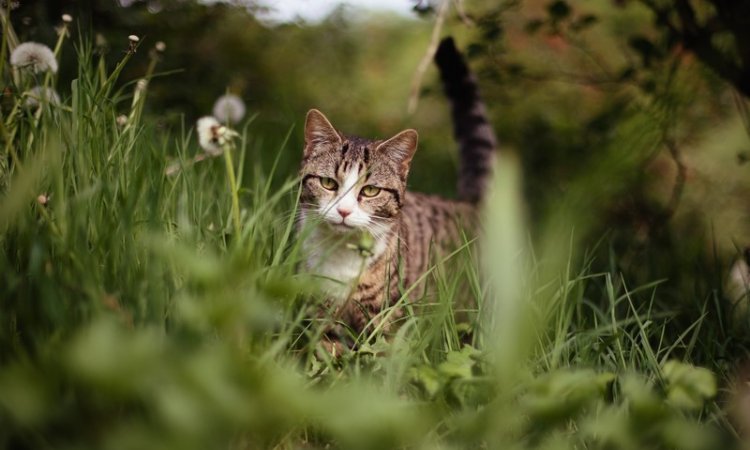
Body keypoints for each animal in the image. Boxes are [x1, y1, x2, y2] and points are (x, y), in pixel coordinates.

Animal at [298, 37, 500, 350]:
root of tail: (469, 203)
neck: (342, 257)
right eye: (328, 183)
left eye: (370, 190)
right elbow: (326, 349)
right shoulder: (320, 310)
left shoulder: (387, 317)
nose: (343, 211)